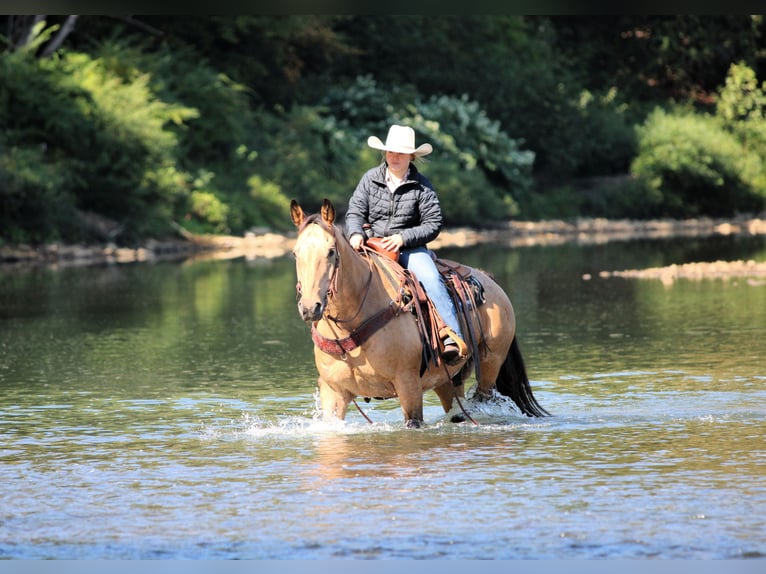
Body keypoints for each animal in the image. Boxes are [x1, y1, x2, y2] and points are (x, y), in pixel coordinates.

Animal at [290, 198, 549, 428]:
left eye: (331, 251)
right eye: (295, 253)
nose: (310, 307)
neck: (352, 323)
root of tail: (489, 281)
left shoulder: (408, 385)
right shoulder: (333, 392)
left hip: (489, 367)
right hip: (447, 381)